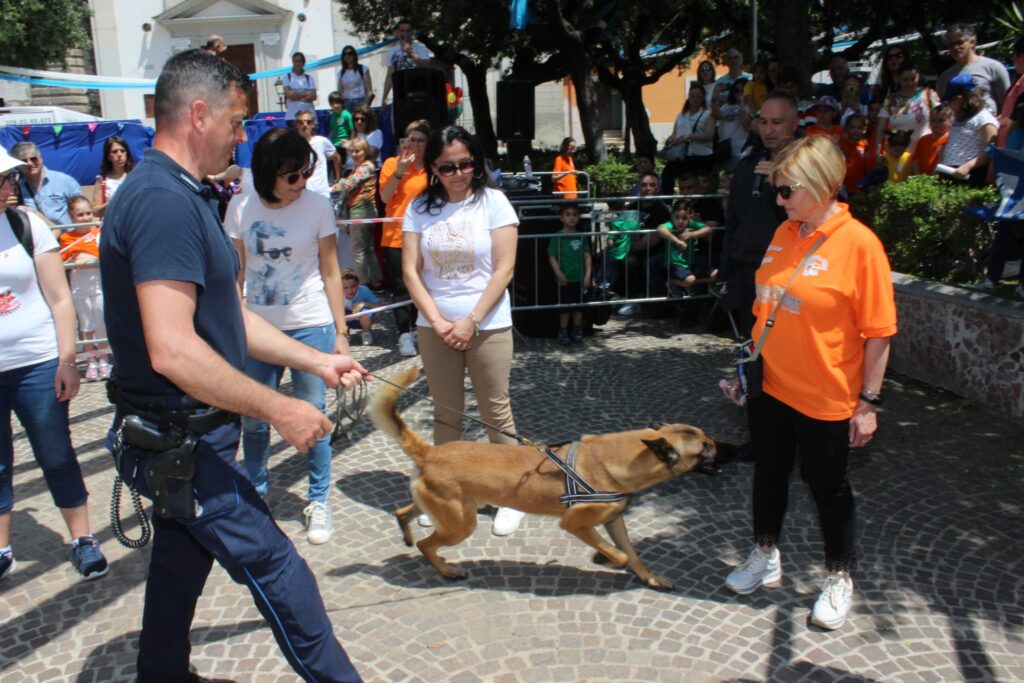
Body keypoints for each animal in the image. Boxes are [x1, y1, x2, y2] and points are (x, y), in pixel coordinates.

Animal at [370, 366, 737, 589]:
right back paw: (446, 569)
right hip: (462, 523)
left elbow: (633, 554)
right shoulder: (575, 524)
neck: (621, 458)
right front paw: (603, 559)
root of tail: (429, 452)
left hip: (446, 511)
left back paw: (408, 536)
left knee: (403, 514)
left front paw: (651, 578)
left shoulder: (614, 521)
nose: (735, 449)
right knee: (426, 543)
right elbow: (619, 555)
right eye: (705, 448)